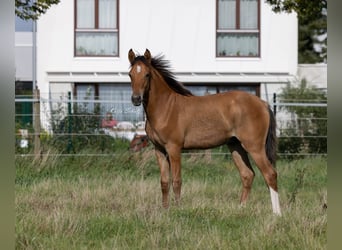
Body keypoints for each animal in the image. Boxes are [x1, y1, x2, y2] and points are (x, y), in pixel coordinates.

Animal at [127, 48, 280, 215]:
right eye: (130, 74)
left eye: (147, 74)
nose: (136, 99)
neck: (166, 107)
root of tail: (263, 103)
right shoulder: (159, 149)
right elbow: (164, 182)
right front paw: (165, 211)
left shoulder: (174, 148)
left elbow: (177, 181)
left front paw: (178, 210)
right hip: (235, 146)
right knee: (247, 174)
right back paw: (241, 209)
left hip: (254, 147)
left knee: (270, 174)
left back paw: (277, 214)